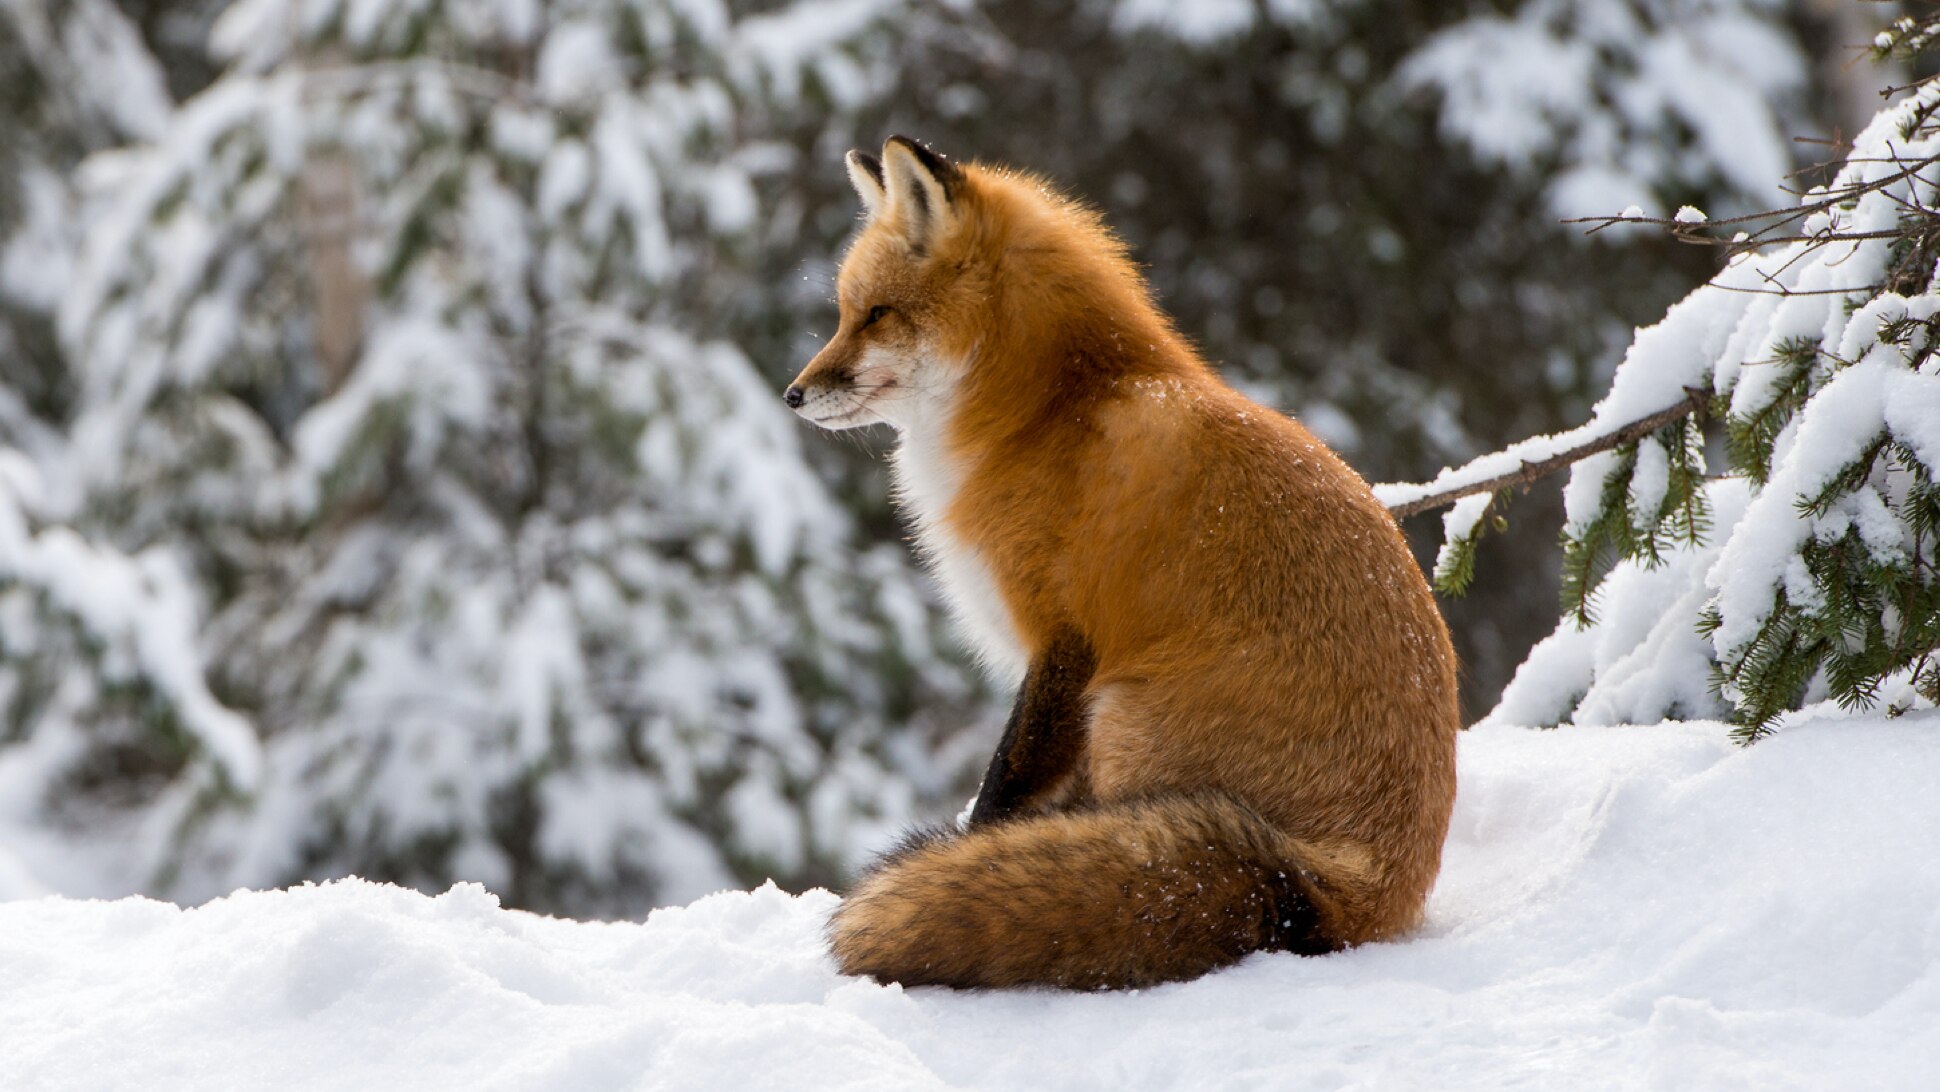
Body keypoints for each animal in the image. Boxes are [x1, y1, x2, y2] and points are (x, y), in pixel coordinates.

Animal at [784, 136, 1459, 990]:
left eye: (875, 314)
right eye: (844, 313)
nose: (793, 394)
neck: (1046, 413)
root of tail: (1358, 889)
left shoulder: (1063, 641)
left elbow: (1003, 786)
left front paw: (970, 854)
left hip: (1120, 717)